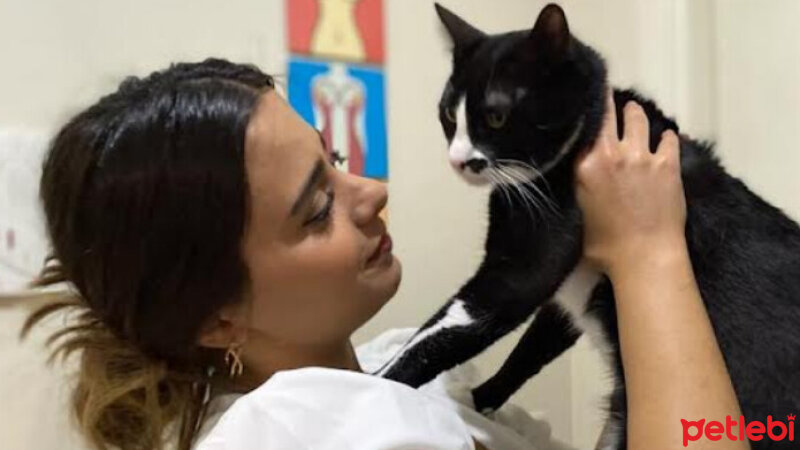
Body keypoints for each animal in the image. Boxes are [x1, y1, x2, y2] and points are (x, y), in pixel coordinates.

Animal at [376, 4, 800, 450]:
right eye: (446, 114)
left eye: (496, 116)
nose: (458, 160)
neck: (594, 122)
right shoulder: (567, 293)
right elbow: (533, 346)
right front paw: (482, 397)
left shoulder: (529, 257)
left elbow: (446, 330)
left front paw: (376, 380)